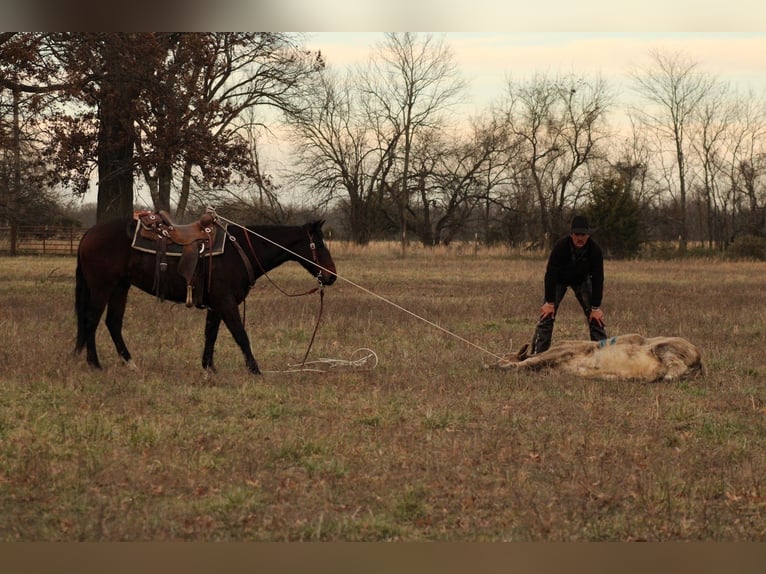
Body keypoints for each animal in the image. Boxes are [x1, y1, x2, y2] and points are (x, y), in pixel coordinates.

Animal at [74, 214, 337, 374]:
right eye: (319, 245)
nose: (332, 276)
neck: (238, 249)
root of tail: (89, 234)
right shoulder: (226, 303)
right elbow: (240, 335)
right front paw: (255, 370)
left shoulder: (216, 305)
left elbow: (211, 334)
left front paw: (209, 367)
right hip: (102, 287)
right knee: (91, 320)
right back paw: (94, 363)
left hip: (120, 286)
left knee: (113, 323)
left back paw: (130, 363)